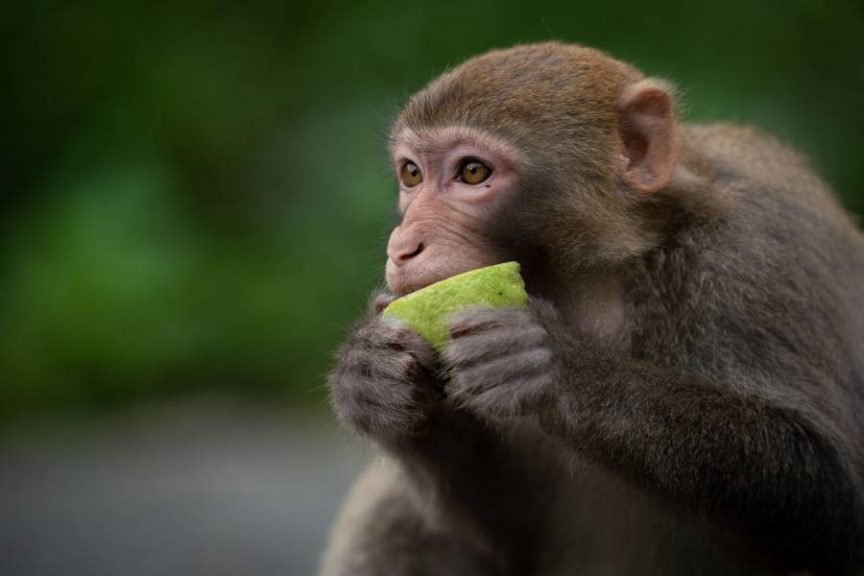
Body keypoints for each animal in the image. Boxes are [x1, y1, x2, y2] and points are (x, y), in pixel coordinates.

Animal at [320, 42, 864, 575]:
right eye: (411, 173)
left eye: (473, 172)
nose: (402, 246)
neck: (598, 280)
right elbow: (512, 534)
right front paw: (369, 372)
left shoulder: (758, 252)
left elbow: (831, 493)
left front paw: (557, 366)